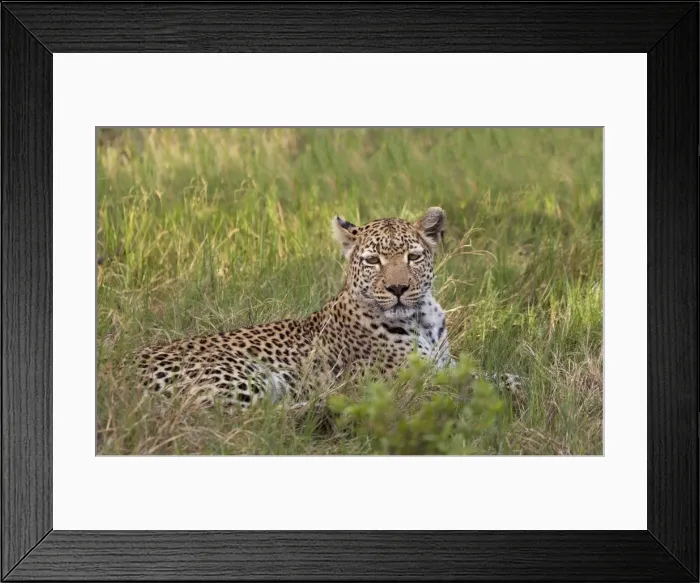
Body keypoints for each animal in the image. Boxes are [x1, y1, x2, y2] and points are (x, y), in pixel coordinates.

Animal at [135, 207, 457, 409]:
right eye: (372, 261)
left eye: (413, 257)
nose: (398, 288)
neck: (423, 319)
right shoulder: (409, 381)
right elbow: (453, 389)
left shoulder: (446, 362)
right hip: (243, 374)